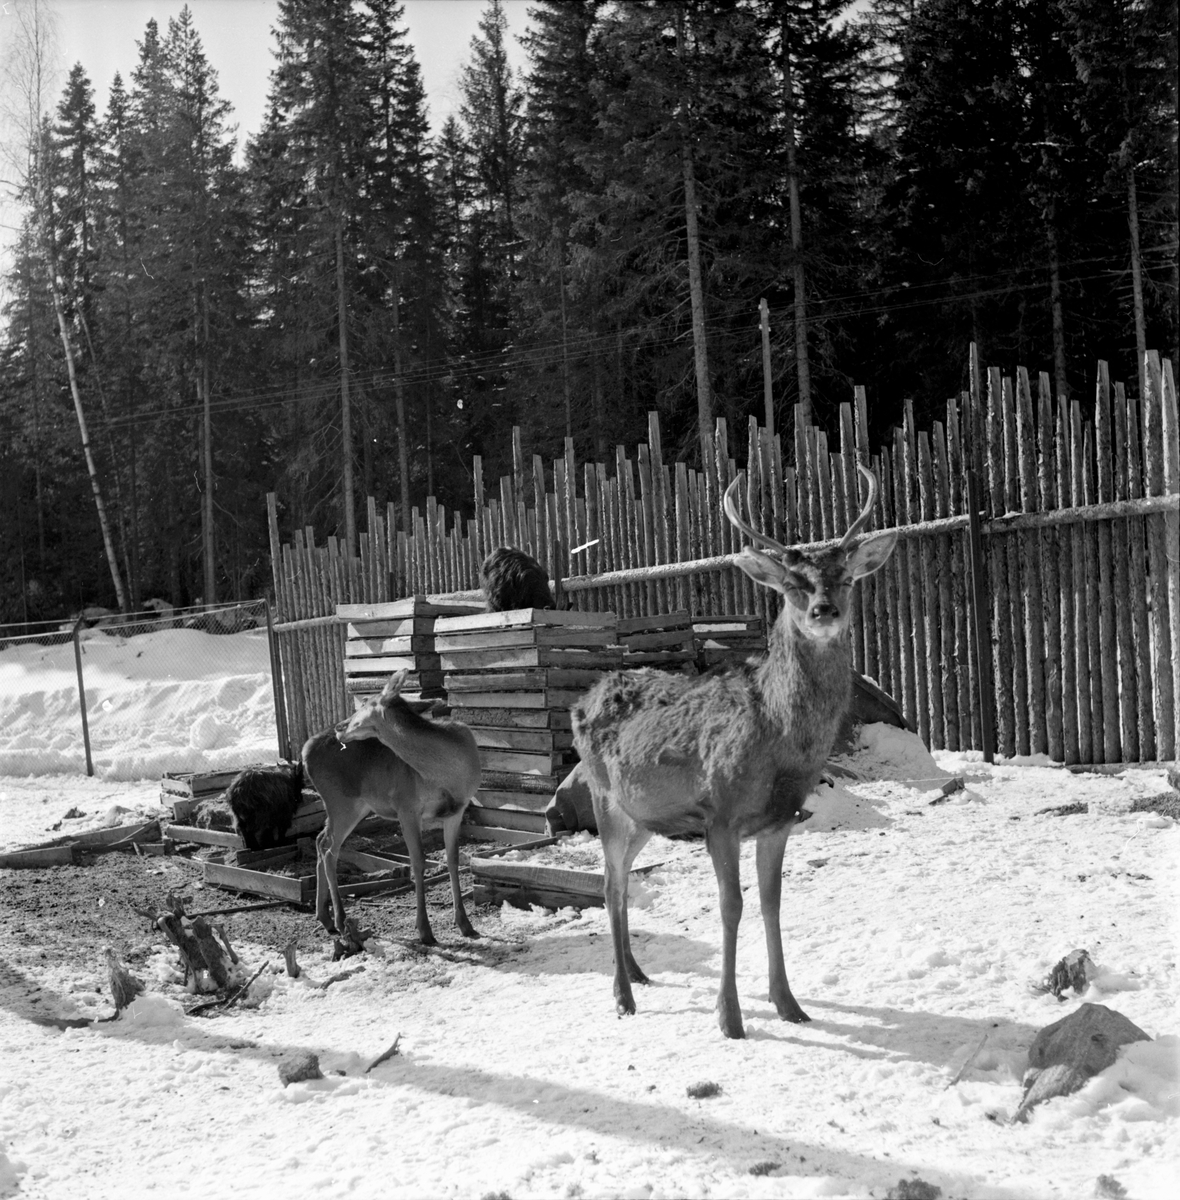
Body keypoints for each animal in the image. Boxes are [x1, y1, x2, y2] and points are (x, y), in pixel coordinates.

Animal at [302, 676, 482, 945]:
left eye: (366, 701)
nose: (340, 726)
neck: (448, 775)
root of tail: (304, 751)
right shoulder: (406, 806)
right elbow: (418, 862)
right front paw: (424, 931)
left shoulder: (457, 811)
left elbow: (453, 859)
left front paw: (465, 924)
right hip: (341, 801)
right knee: (329, 849)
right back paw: (341, 920)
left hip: (352, 806)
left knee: (320, 839)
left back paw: (325, 917)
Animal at [571, 468, 893, 1041]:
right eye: (791, 585)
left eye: (847, 578)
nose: (824, 610)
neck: (780, 742)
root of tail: (580, 701)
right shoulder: (719, 815)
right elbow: (731, 906)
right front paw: (730, 1017)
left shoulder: (780, 820)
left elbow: (772, 904)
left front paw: (789, 1004)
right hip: (604, 798)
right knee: (608, 884)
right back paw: (623, 996)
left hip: (643, 815)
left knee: (622, 882)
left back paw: (637, 972)